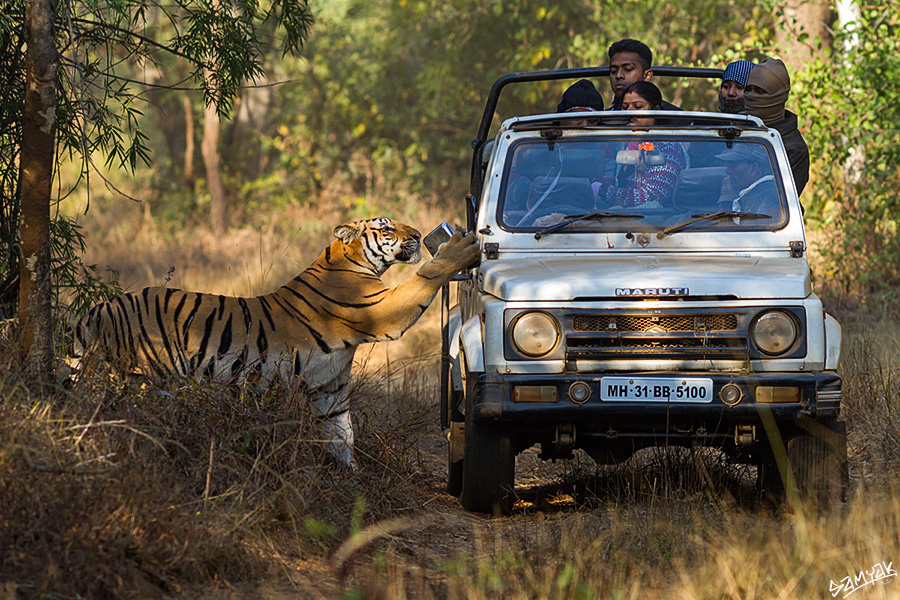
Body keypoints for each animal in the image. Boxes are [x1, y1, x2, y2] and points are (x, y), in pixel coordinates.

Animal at [68, 218, 478, 472]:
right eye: (386, 226)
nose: (418, 234)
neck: (350, 260)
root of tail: (98, 308)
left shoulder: (330, 385)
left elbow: (341, 432)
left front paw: (352, 478)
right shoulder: (385, 311)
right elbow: (425, 276)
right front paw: (459, 248)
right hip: (143, 378)